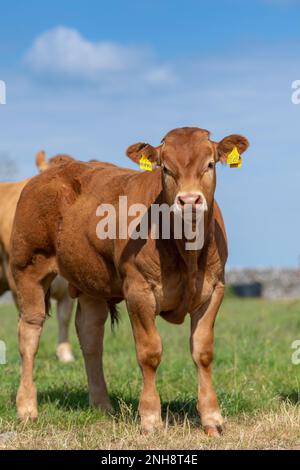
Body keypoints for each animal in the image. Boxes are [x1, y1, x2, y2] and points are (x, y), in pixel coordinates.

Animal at [9, 126, 248, 436]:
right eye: (166, 168)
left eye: (209, 164)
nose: (189, 201)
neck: (185, 250)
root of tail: (54, 169)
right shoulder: (138, 290)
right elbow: (149, 353)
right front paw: (150, 419)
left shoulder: (214, 289)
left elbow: (203, 352)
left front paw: (212, 418)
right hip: (28, 267)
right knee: (30, 334)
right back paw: (27, 408)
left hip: (90, 282)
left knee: (90, 336)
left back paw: (101, 404)